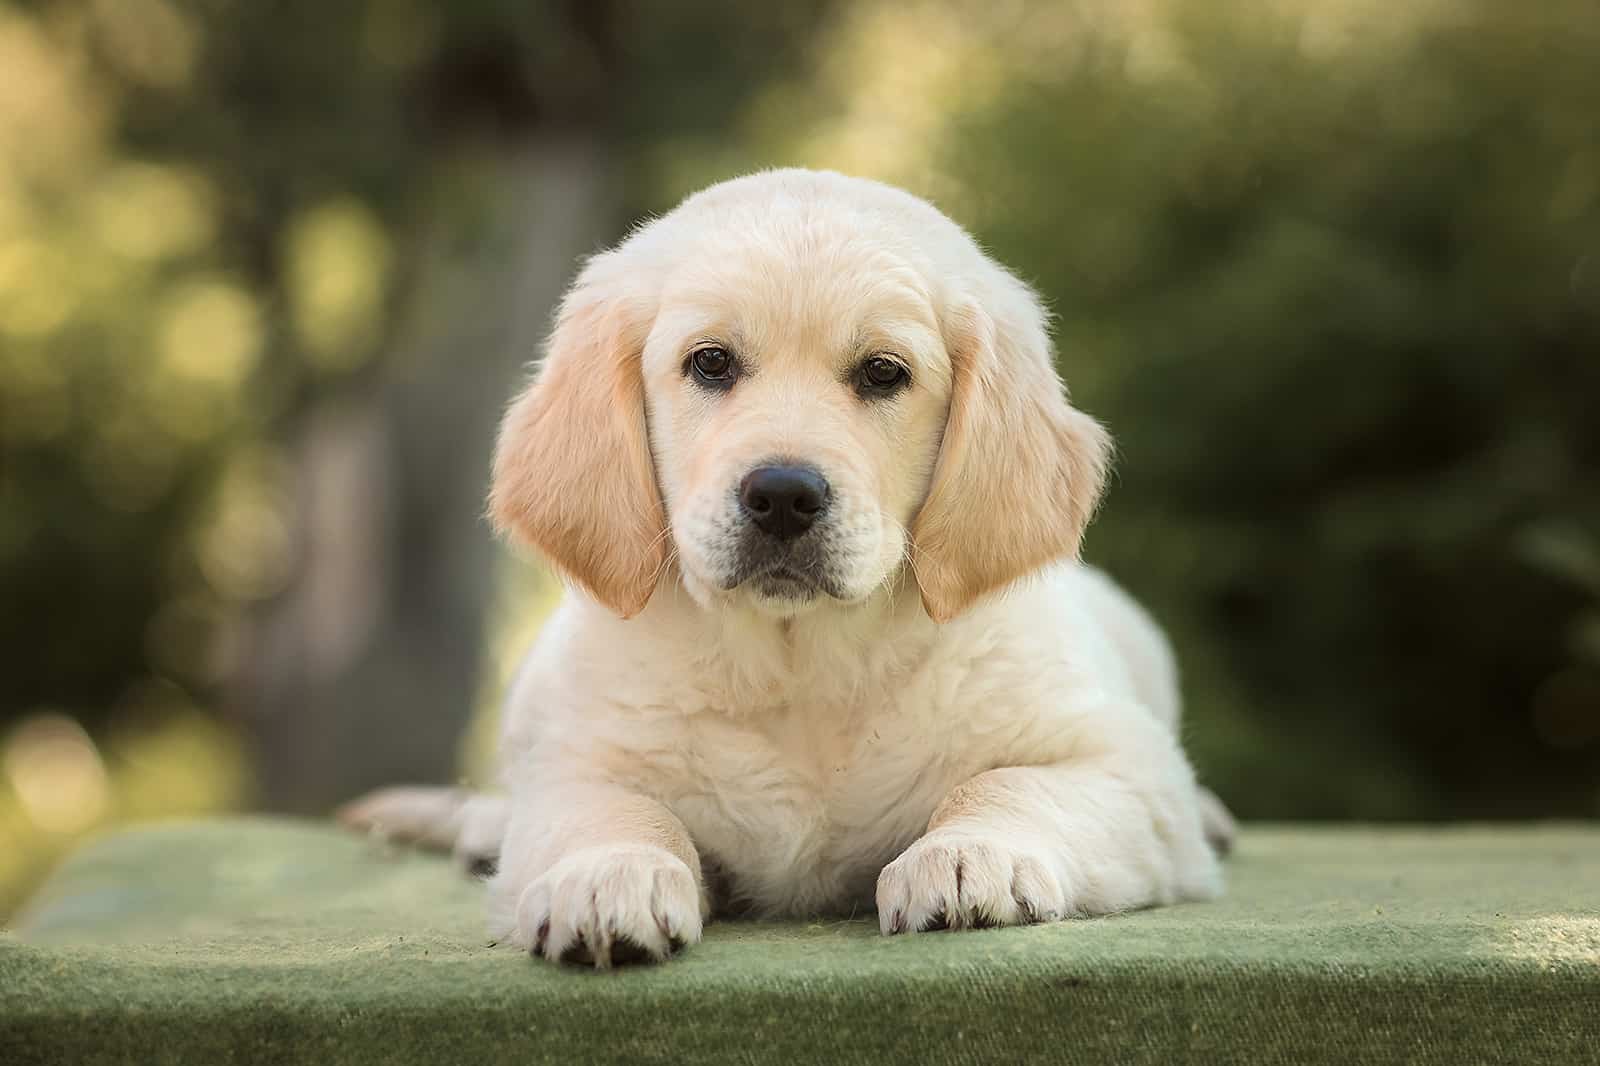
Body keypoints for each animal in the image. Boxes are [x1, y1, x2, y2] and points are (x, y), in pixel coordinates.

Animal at [344, 166, 1228, 960]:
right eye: (710, 362)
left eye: (882, 373)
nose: (782, 496)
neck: (801, 665)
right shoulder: (580, 759)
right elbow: (615, 811)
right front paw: (606, 877)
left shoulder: (1122, 765)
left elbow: (1009, 781)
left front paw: (970, 856)